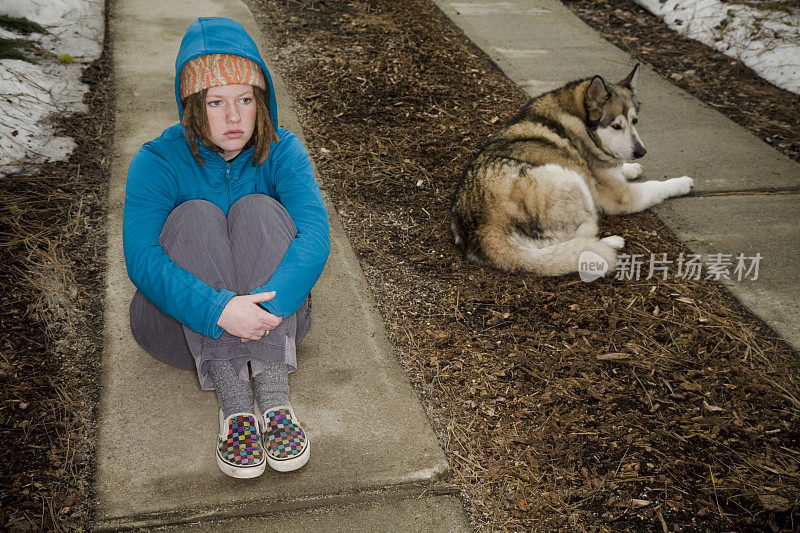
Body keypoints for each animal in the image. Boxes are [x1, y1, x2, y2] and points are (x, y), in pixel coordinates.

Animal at [450, 63, 692, 274]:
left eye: (635, 121)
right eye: (616, 126)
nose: (641, 151)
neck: (580, 122)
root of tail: (484, 230)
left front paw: (631, 168)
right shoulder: (621, 197)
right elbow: (656, 187)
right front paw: (681, 183)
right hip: (570, 178)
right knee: (584, 232)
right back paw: (610, 242)